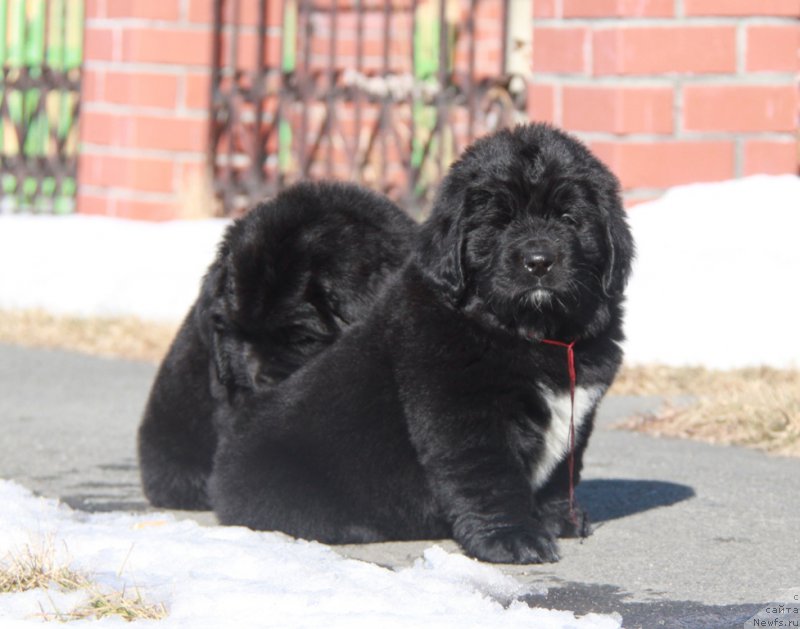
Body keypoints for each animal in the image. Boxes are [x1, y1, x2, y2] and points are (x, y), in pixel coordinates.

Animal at [209, 122, 636, 564]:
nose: (538, 261)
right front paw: (514, 538)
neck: (531, 333)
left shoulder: (577, 411)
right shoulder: (467, 414)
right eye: (499, 222)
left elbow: (560, 472)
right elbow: (491, 479)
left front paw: (558, 520)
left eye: (569, 218)